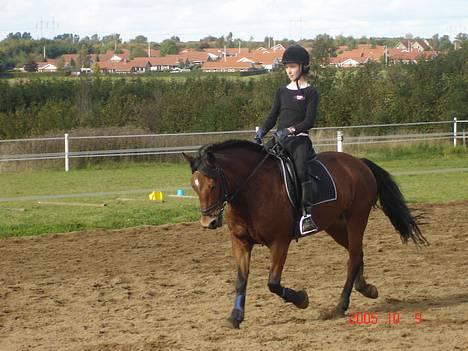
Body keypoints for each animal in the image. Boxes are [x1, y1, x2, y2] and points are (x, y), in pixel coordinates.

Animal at [183, 140, 428, 330]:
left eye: (212, 184)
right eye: (194, 186)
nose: (208, 222)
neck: (252, 190)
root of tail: (358, 162)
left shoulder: (280, 242)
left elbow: (273, 283)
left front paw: (302, 300)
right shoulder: (241, 242)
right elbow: (241, 280)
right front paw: (235, 318)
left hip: (357, 218)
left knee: (353, 257)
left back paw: (340, 306)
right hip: (335, 225)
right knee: (357, 253)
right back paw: (366, 289)